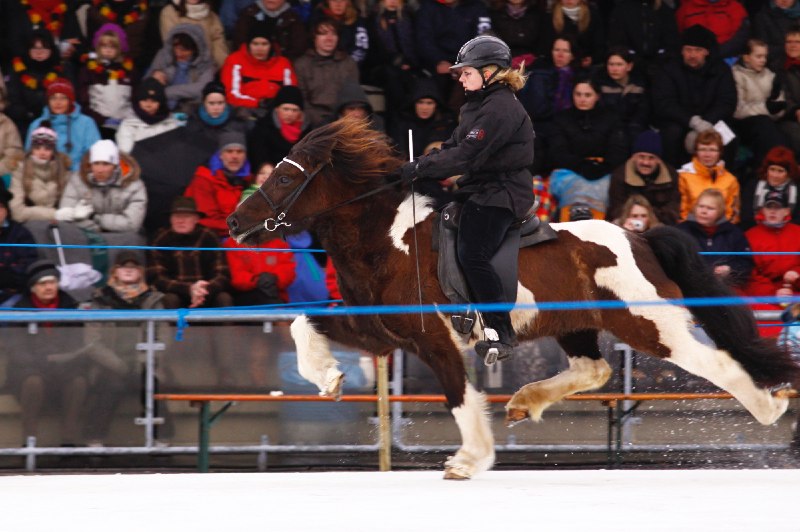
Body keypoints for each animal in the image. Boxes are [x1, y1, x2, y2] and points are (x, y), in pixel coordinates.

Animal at [227, 117, 800, 482]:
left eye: (285, 175)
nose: (234, 222)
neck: (387, 241)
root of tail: (641, 236)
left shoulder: (434, 338)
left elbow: (458, 395)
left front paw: (469, 460)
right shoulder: (384, 329)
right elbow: (304, 323)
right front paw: (329, 378)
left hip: (647, 325)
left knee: (714, 362)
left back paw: (769, 407)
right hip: (576, 325)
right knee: (594, 369)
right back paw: (526, 400)